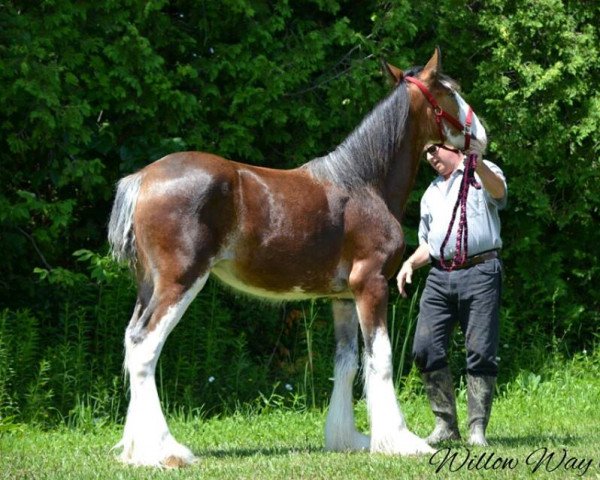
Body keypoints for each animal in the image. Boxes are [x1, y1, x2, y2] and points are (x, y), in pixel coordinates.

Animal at [108, 49, 488, 468]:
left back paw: (136, 449)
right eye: (451, 92)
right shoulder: (371, 285)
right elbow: (382, 357)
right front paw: (401, 441)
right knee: (145, 347)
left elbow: (347, 362)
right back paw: (166, 451)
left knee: (131, 342)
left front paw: (347, 438)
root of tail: (143, 178)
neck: (363, 183)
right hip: (179, 282)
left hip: (149, 285)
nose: (482, 136)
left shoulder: (343, 297)